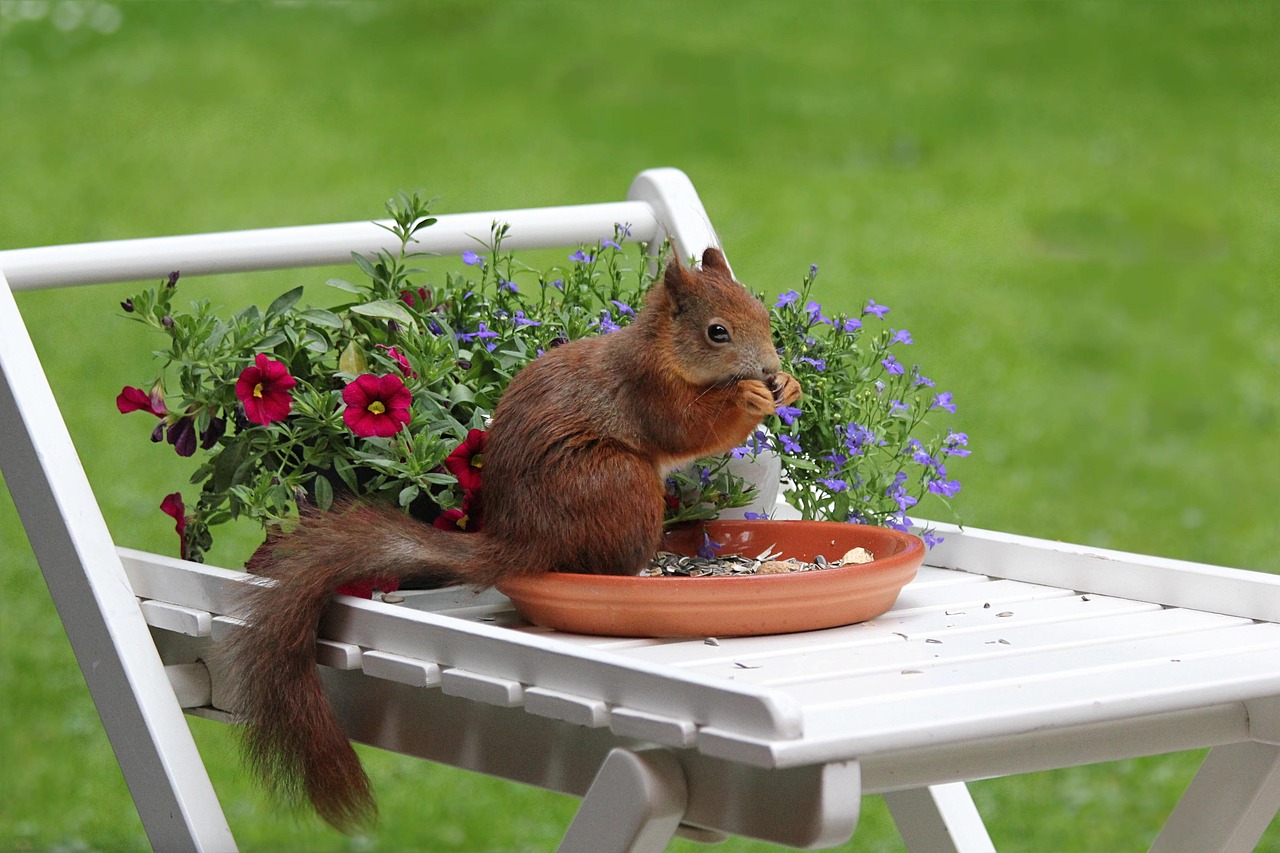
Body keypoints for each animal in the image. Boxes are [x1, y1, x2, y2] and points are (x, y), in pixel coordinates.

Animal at [220, 245, 798, 829]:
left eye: (762, 314)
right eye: (717, 332)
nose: (770, 369)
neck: (664, 353)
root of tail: (523, 539)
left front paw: (788, 386)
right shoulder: (648, 392)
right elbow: (688, 430)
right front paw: (748, 396)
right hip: (620, 481)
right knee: (604, 565)